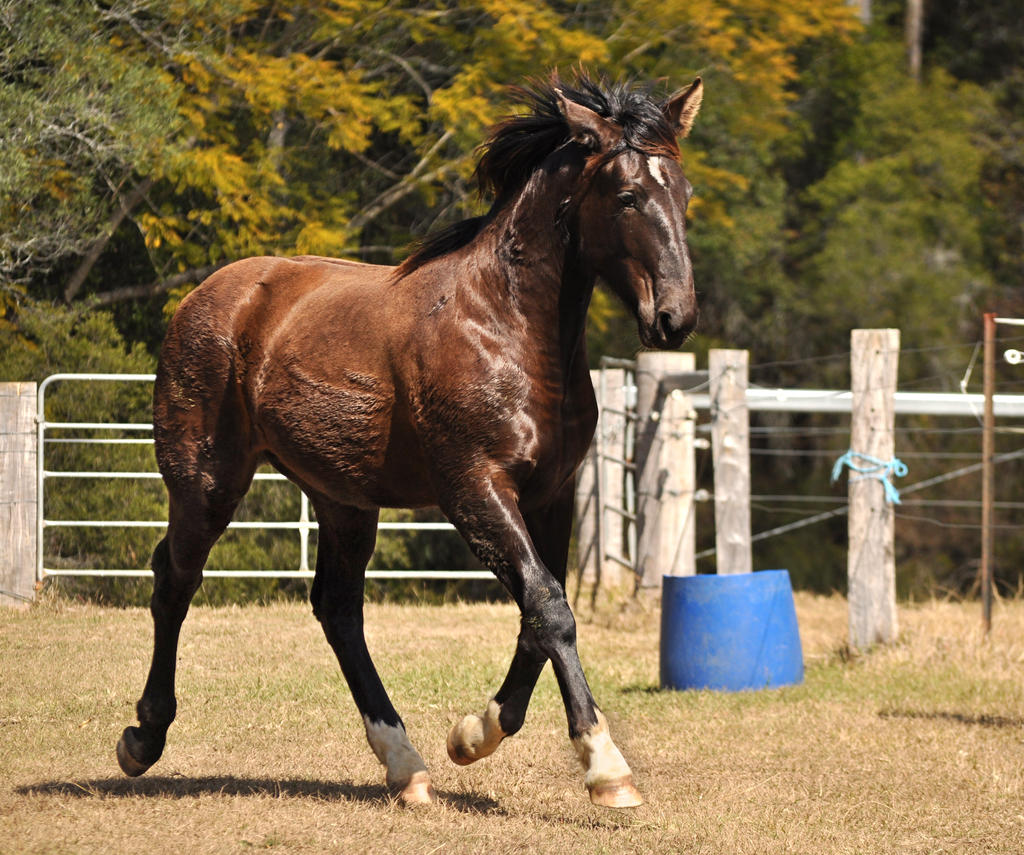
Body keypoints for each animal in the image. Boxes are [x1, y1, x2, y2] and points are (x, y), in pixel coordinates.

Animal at [114, 71, 704, 810]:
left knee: (337, 609)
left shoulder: (551, 494)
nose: (675, 317)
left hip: (342, 500)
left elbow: (542, 612)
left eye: (684, 194)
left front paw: (474, 733)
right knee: (176, 579)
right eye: (626, 195)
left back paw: (405, 764)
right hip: (206, 481)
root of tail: (206, 296)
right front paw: (606, 768)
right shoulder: (474, 489)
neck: (505, 327)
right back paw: (142, 738)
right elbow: (548, 606)